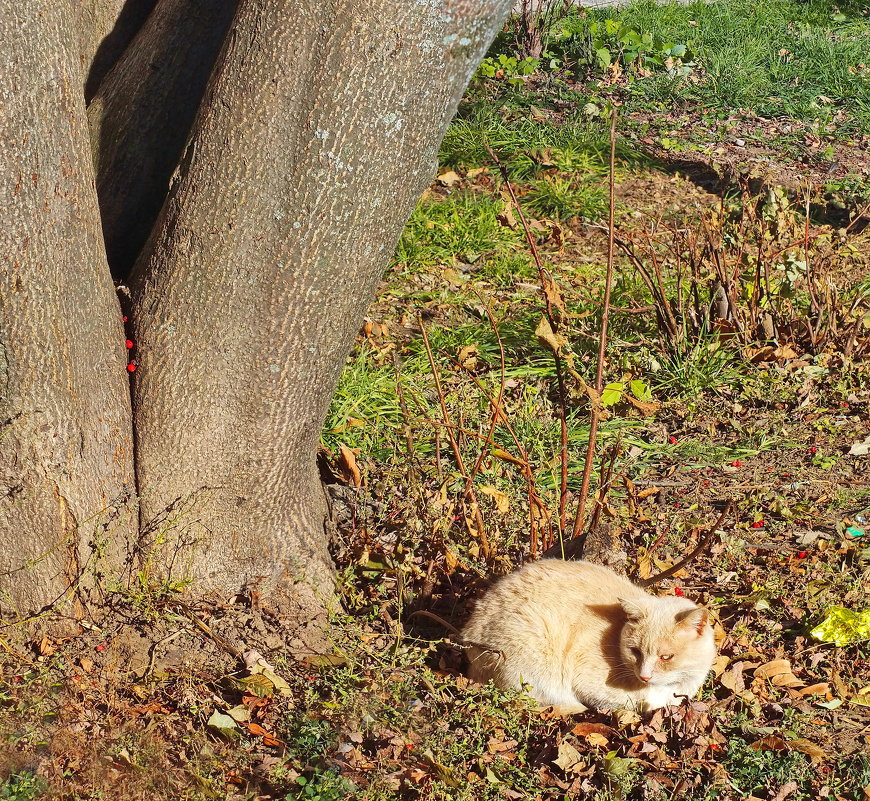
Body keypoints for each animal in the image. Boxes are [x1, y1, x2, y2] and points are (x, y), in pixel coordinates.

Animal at [464, 556, 716, 712]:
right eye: (635, 652)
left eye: (666, 657)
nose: (644, 676)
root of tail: (468, 630)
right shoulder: (588, 683)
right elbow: (641, 701)